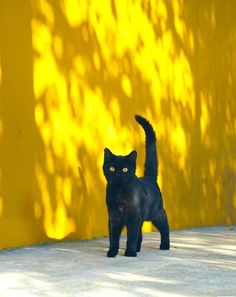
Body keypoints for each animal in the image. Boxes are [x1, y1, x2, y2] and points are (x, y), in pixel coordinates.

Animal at [102, 114, 169, 256]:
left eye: (125, 169)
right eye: (111, 168)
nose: (118, 175)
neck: (119, 193)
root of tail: (149, 178)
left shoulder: (133, 217)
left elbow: (131, 236)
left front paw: (130, 252)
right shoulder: (114, 216)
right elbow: (113, 237)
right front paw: (112, 252)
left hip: (156, 213)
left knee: (165, 224)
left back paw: (165, 245)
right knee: (140, 234)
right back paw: (138, 248)